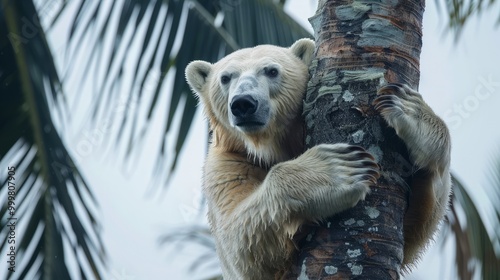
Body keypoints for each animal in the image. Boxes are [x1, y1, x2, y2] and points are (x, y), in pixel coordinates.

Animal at [186, 38, 452, 280]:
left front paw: (410, 112)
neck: (271, 145)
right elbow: (239, 247)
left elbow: (414, 230)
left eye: (271, 71)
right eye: (225, 78)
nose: (243, 103)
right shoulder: (227, 164)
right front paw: (339, 170)